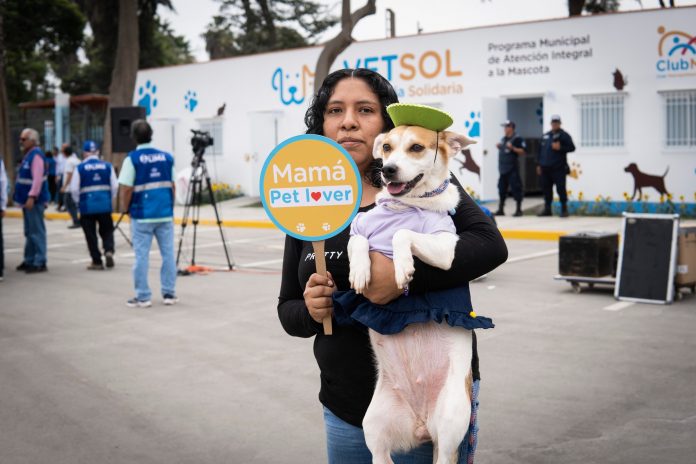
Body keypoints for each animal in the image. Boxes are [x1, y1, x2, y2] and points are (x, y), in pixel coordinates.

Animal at [348, 124, 478, 464]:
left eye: (416, 148)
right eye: (387, 147)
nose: (388, 169)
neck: (405, 205)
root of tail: (420, 422)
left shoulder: (446, 247)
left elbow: (401, 233)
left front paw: (403, 266)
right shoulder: (359, 229)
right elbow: (359, 241)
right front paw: (360, 271)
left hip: (450, 431)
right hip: (375, 431)